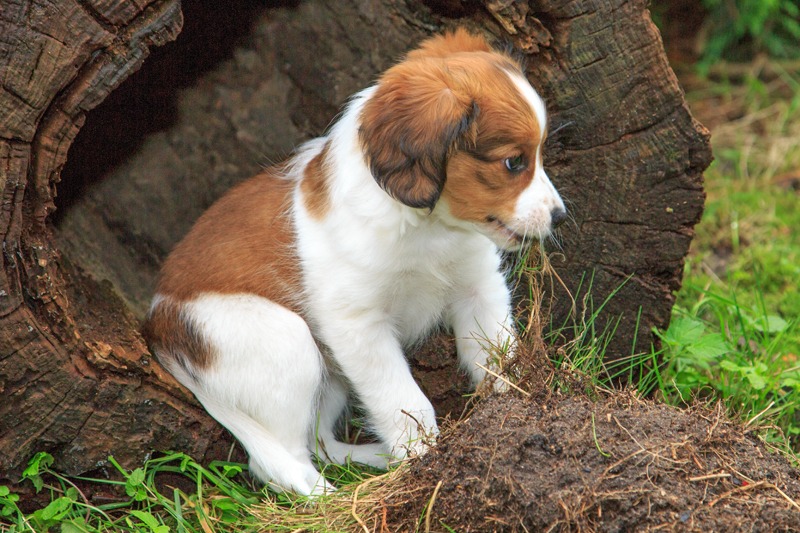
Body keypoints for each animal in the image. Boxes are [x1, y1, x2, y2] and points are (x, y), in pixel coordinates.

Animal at [145, 29, 568, 494]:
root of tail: (157, 323)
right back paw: (334, 499)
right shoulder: (359, 326)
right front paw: (424, 459)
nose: (560, 216)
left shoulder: (478, 289)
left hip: (327, 379)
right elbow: (405, 401)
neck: (429, 230)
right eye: (514, 162)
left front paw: (516, 410)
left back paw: (375, 461)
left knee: (321, 444)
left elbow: (500, 357)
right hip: (287, 342)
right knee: (281, 463)